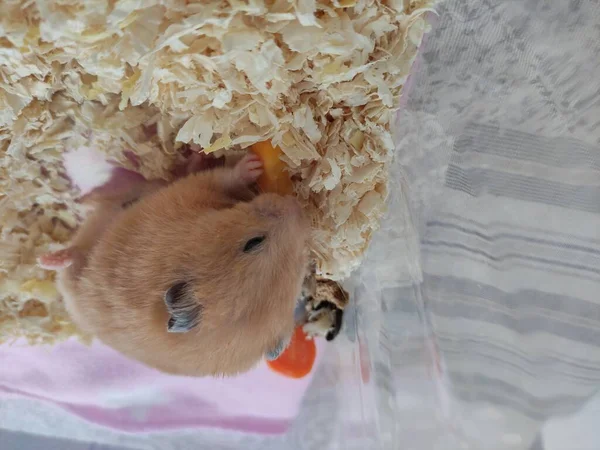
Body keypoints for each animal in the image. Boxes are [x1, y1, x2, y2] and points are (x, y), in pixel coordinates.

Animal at [38, 153, 312, 378]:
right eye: (253, 243)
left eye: (299, 270)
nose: (298, 207)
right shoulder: (194, 192)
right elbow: (227, 177)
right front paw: (253, 164)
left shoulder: (192, 191)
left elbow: (221, 177)